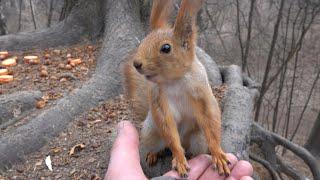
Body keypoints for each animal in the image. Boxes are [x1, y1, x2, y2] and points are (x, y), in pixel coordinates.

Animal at [122, 0, 230, 177]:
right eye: (143, 41)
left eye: (166, 48)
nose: (136, 63)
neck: (174, 81)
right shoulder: (158, 99)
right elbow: (168, 127)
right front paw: (179, 159)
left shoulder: (202, 91)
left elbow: (210, 120)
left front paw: (218, 154)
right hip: (150, 133)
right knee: (162, 144)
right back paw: (154, 154)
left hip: (198, 138)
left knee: (195, 147)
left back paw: (192, 155)